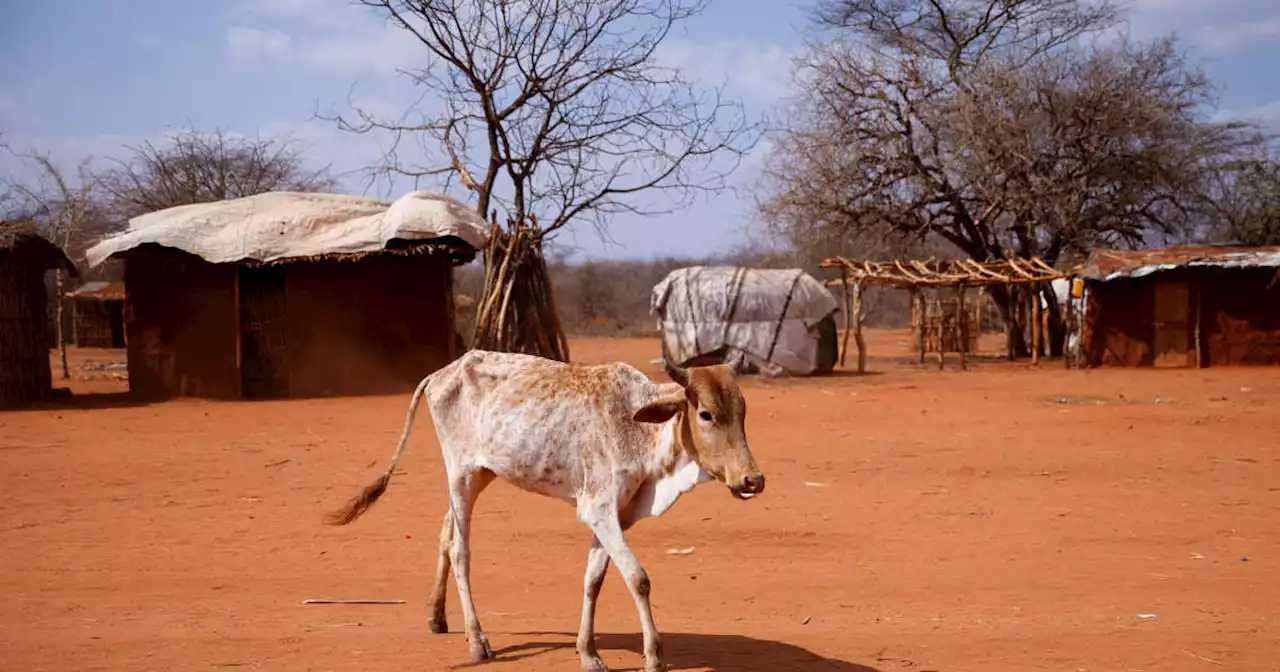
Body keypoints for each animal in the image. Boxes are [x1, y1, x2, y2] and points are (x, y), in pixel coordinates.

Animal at [330, 348, 762, 665]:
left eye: (742, 412)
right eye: (705, 414)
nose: (752, 480)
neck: (641, 428)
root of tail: (442, 372)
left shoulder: (614, 517)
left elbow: (594, 580)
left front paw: (588, 653)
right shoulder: (599, 510)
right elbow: (637, 578)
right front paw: (654, 656)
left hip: (481, 473)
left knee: (444, 533)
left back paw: (437, 616)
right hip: (460, 473)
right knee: (459, 550)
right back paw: (477, 640)